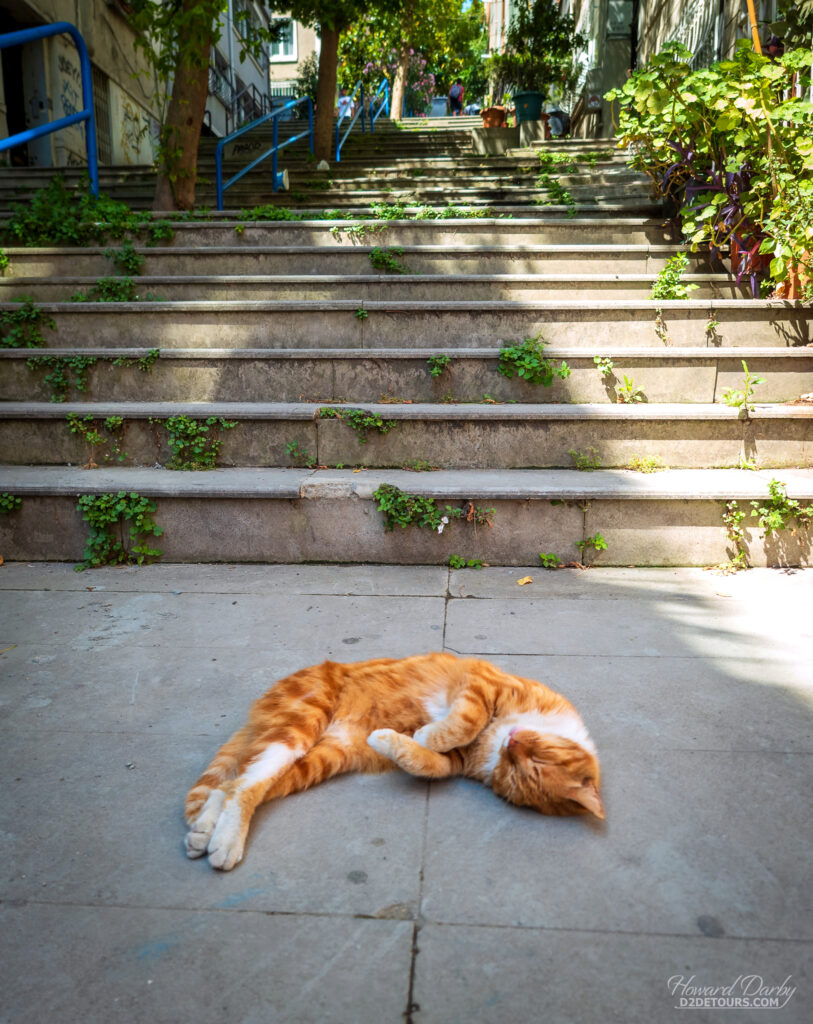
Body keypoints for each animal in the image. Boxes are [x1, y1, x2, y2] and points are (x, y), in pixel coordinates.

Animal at [185, 651, 602, 868]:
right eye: (537, 760)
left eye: (518, 772)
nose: (511, 747)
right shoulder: (481, 685)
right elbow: (464, 722)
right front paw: (425, 733)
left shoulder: (454, 761)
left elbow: (427, 762)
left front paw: (394, 739)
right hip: (298, 728)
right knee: (244, 784)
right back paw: (224, 841)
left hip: (314, 760)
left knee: (237, 784)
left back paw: (206, 831)